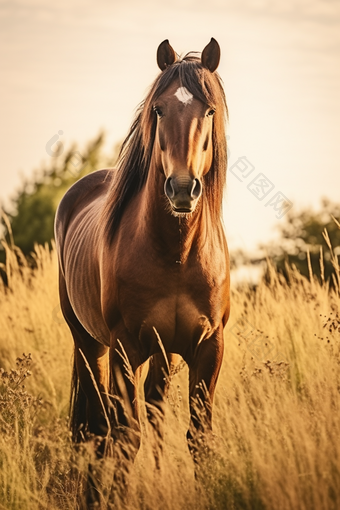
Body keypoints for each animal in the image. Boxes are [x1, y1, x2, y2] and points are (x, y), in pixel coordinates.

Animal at [55, 36, 231, 506]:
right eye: (159, 109)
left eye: (209, 110)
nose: (183, 189)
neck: (175, 254)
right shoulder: (123, 348)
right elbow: (123, 436)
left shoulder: (208, 347)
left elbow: (197, 437)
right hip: (89, 344)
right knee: (96, 429)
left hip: (163, 354)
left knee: (150, 415)